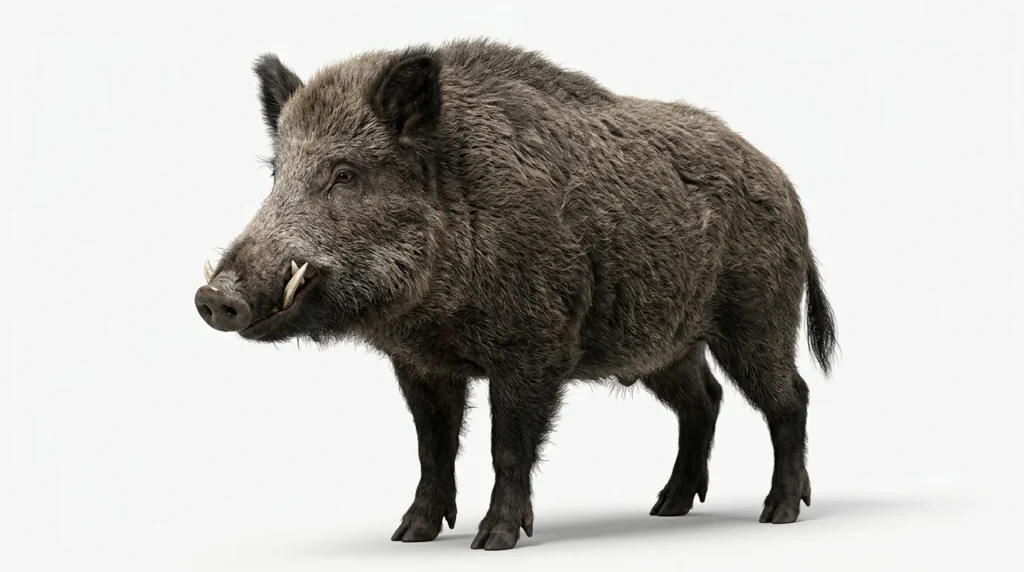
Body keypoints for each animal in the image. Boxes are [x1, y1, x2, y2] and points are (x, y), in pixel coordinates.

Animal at [193, 38, 838, 551]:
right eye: (276, 174)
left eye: (345, 175)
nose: (213, 296)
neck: (434, 312)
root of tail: (788, 188)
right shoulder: (420, 365)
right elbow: (432, 447)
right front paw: (409, 535)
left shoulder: (535, 346)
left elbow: (507, 444)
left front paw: (493, 541)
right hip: (668, 345)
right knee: (704, 400)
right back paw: (667, 508)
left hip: (758, 315)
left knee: (791, 397)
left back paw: (778, 513)